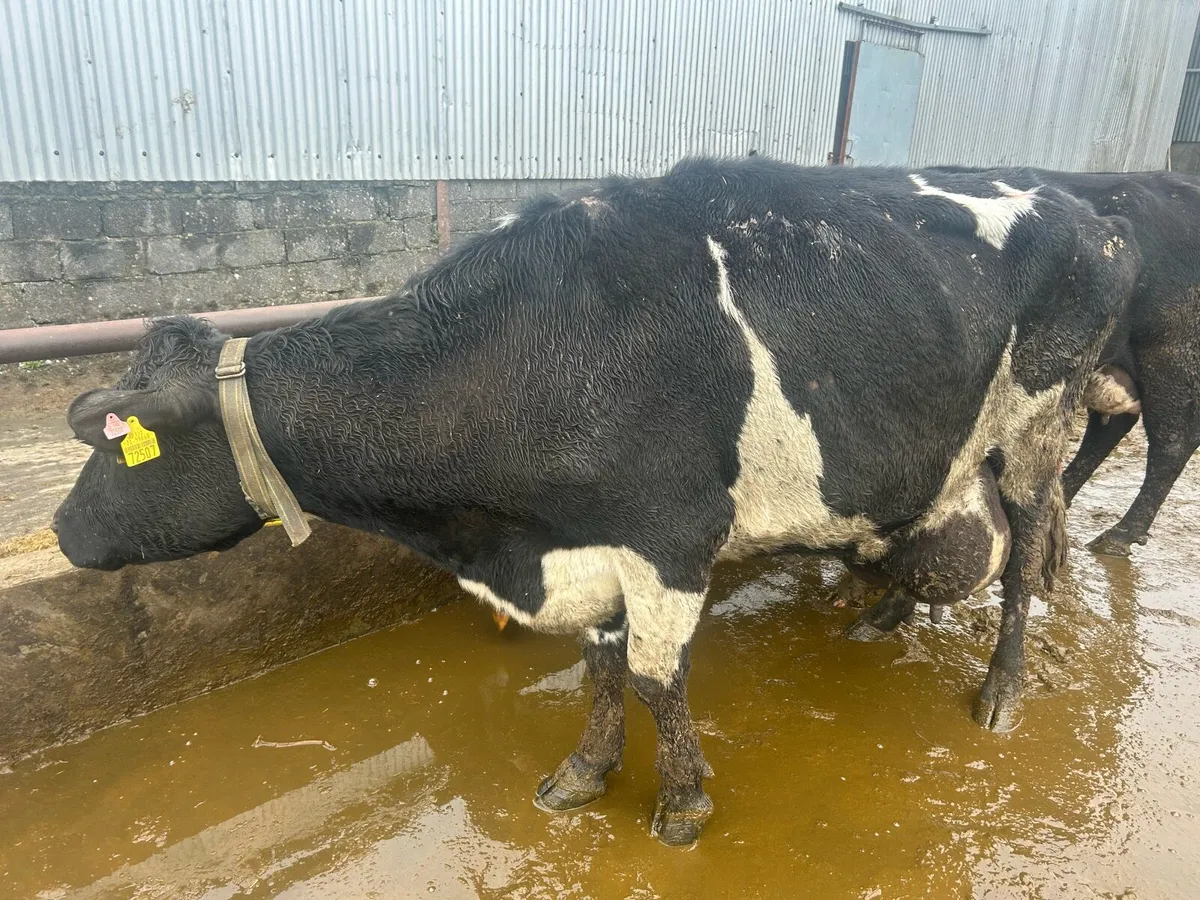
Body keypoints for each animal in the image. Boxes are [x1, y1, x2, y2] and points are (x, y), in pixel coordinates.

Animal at [52, 158, 1137, 846]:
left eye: (123, 449)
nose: (61, 528)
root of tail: (1089, 212)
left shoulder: (668, 536)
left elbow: (657, 677)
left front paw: (684, 803)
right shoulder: (588, 543)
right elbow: (603, 668)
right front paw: (585, 770)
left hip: (1039, 426)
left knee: (1027, 546)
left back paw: (1002, 687)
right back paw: (883, 612)